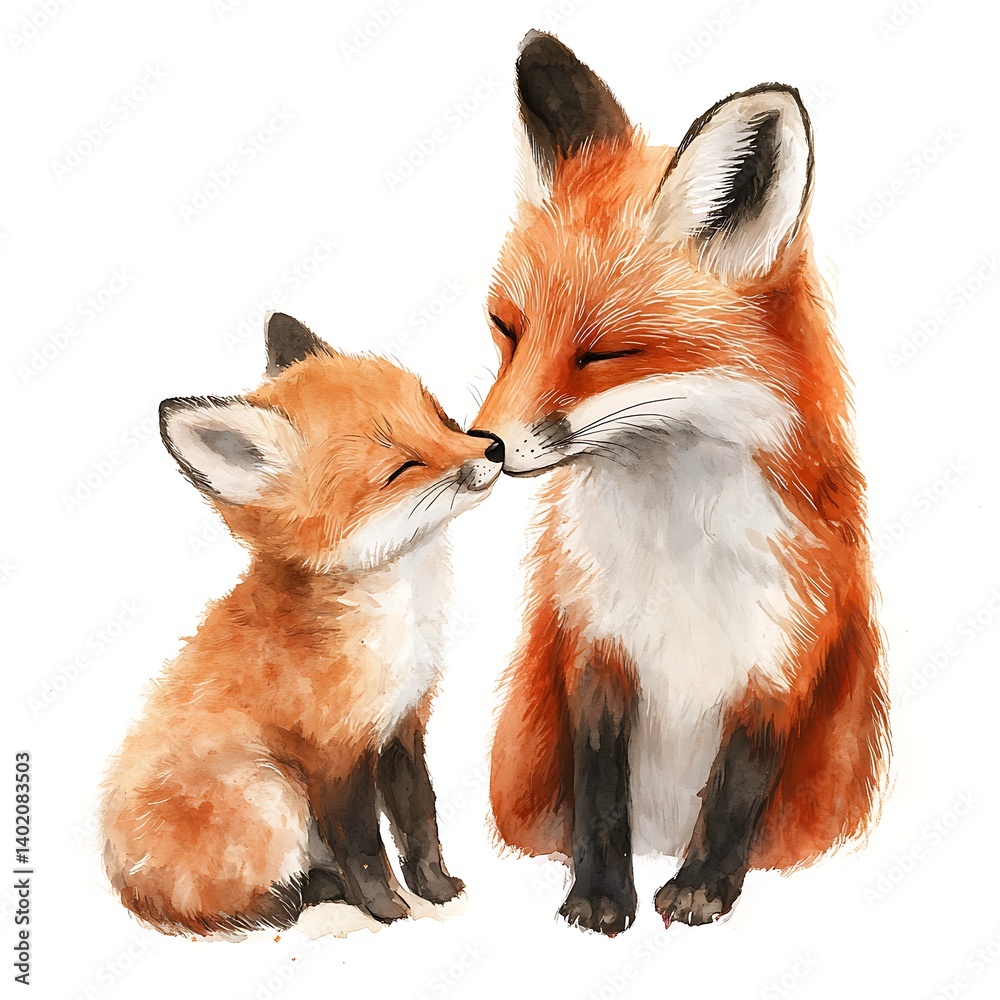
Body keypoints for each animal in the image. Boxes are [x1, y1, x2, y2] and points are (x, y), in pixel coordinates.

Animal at [101, 312, 504, 936]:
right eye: (403, 468)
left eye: (443, 418)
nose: (497, 447)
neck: (400, 623)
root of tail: (128, 889)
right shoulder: (333, 754)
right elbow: (364, 848)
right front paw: (391, 912)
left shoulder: (401, 725)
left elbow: (420, 822)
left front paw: (437, 890)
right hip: (271, 791)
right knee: (240, 908)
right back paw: (305, 897)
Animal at [474, 31, 890, 934]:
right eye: (507, 329)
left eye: (604, 352)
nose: (483, 447)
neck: (677, 554)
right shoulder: (593, 643)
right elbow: (601, 790)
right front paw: (599, 896)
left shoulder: (783, 657)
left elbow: (737, 790)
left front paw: (702, 889)